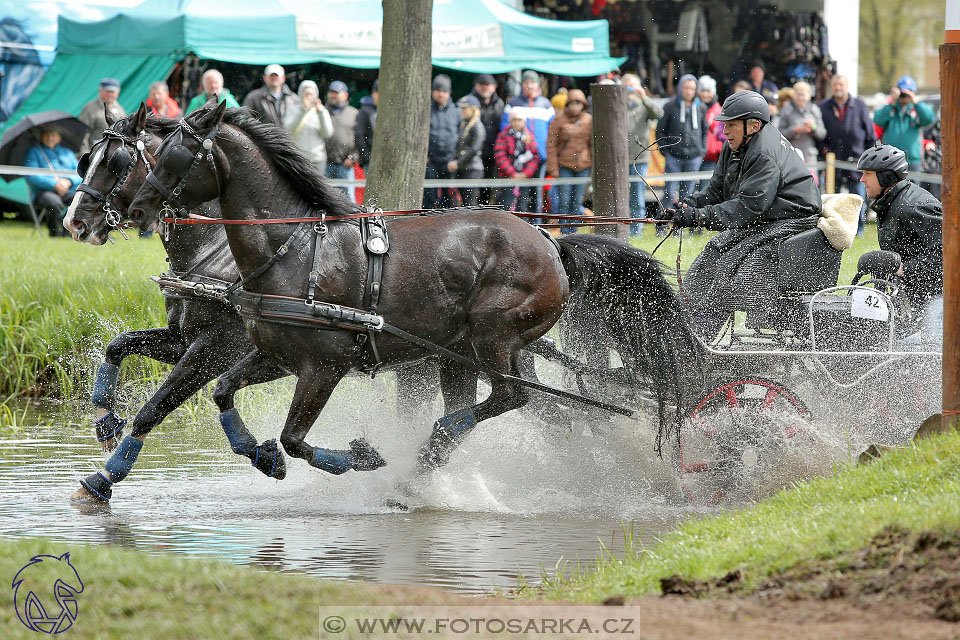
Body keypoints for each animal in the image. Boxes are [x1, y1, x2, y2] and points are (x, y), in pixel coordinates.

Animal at [64, 105, 288, 502]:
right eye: (86, 160)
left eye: (115, 162)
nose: (73, 222)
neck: (213, 252)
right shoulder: (183, 339)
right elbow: (118, 344)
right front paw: (105, 420)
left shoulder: (216, 347)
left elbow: (154, 408)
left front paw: (102, 480)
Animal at [112, 102, 700, 492]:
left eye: (177, 156)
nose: (136, 208)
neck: (292, 249)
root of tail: (551, 242)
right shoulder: (273, 354)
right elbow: (223, 392)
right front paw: (256, 452)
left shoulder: (323, 365)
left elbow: (296, 438)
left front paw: (359, 456)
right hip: (463, 353)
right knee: (522, 406)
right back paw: (428, 465)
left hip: (494, 337)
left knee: (512, 398)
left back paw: (429, 446)